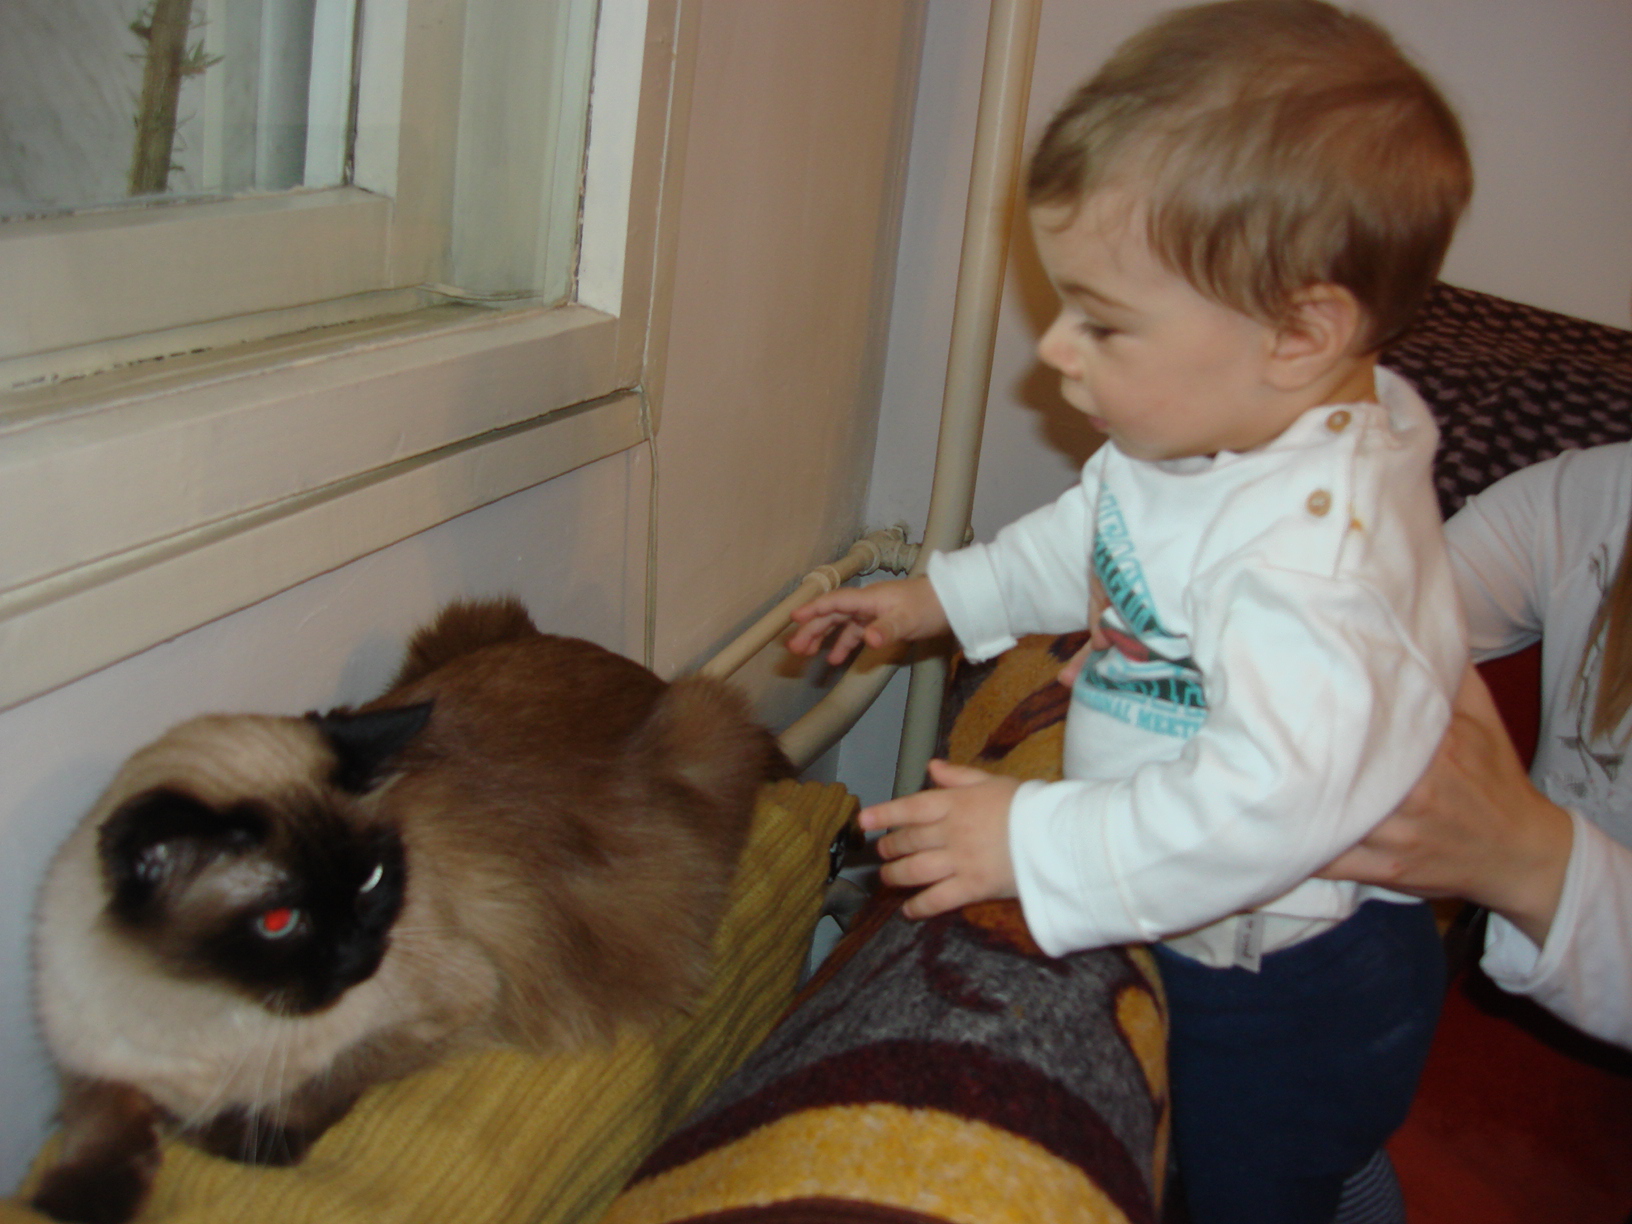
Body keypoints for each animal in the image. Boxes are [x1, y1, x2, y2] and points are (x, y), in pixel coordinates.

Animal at [30, 597, 789, 1224]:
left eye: (371, 879)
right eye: (280, 922)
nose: (360, 954)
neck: (202, 1011)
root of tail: (646, 673)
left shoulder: (453, 1001)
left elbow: (310, 1091)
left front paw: (227, 1133)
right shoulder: (87, 1057)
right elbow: (98, 1120)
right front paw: (78, 1200)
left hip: (698, 721)